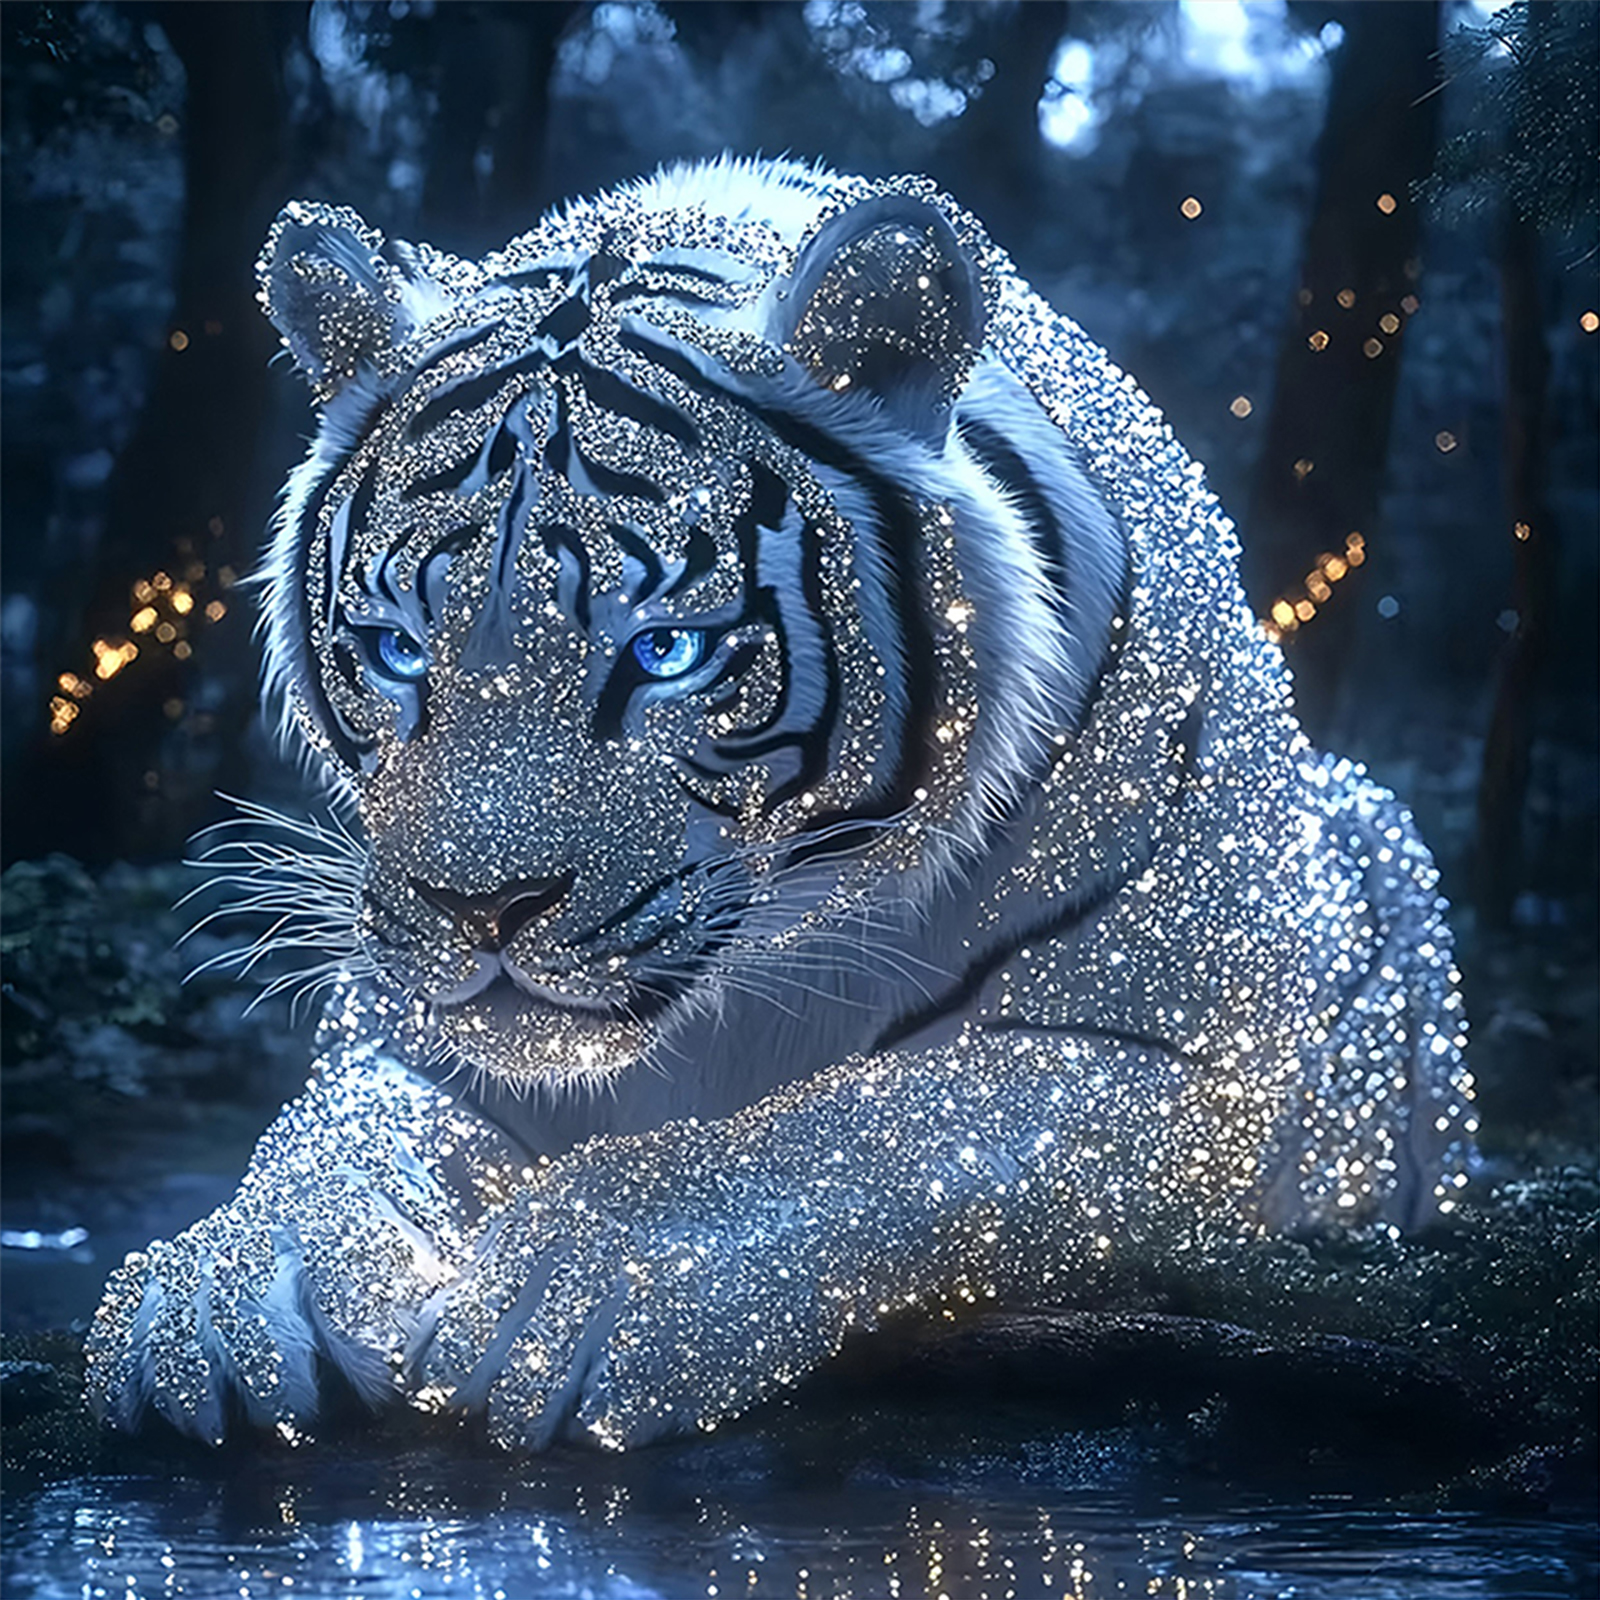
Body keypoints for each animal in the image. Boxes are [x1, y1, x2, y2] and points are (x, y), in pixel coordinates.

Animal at [87, 156, 1476, 1452]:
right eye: (395, 649)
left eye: (664, 652)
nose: (480, 909)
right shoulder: (402, 1033)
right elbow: (330, 1145)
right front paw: (215, 1294)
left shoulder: (1193, 1059)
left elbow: (882, 1124)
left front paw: (580, 1286)